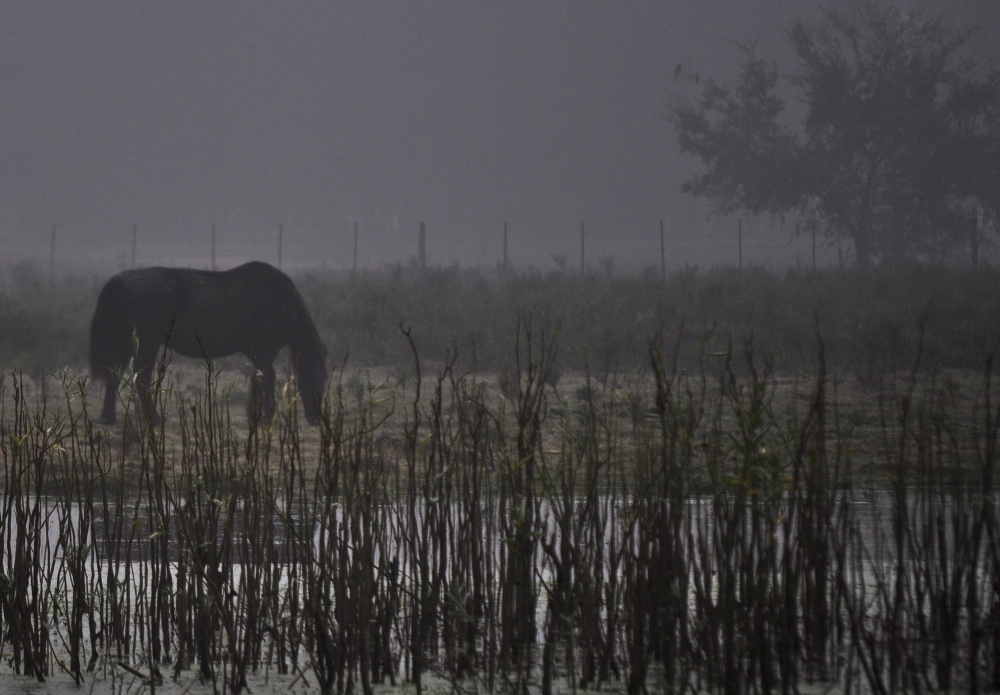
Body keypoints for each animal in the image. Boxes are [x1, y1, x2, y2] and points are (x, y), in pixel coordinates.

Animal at [90, 260, 328, 424]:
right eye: (320, 377)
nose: (316, 419)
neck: (285, 300)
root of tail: (121, 278)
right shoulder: (265, 351)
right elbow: (266, 379)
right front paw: (264, 415)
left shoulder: (257, 353)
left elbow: (259, 378)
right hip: (146, 344)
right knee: (142, 378)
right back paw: (153, 418)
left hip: (124, 345)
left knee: (114, 375)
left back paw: (109, 418)